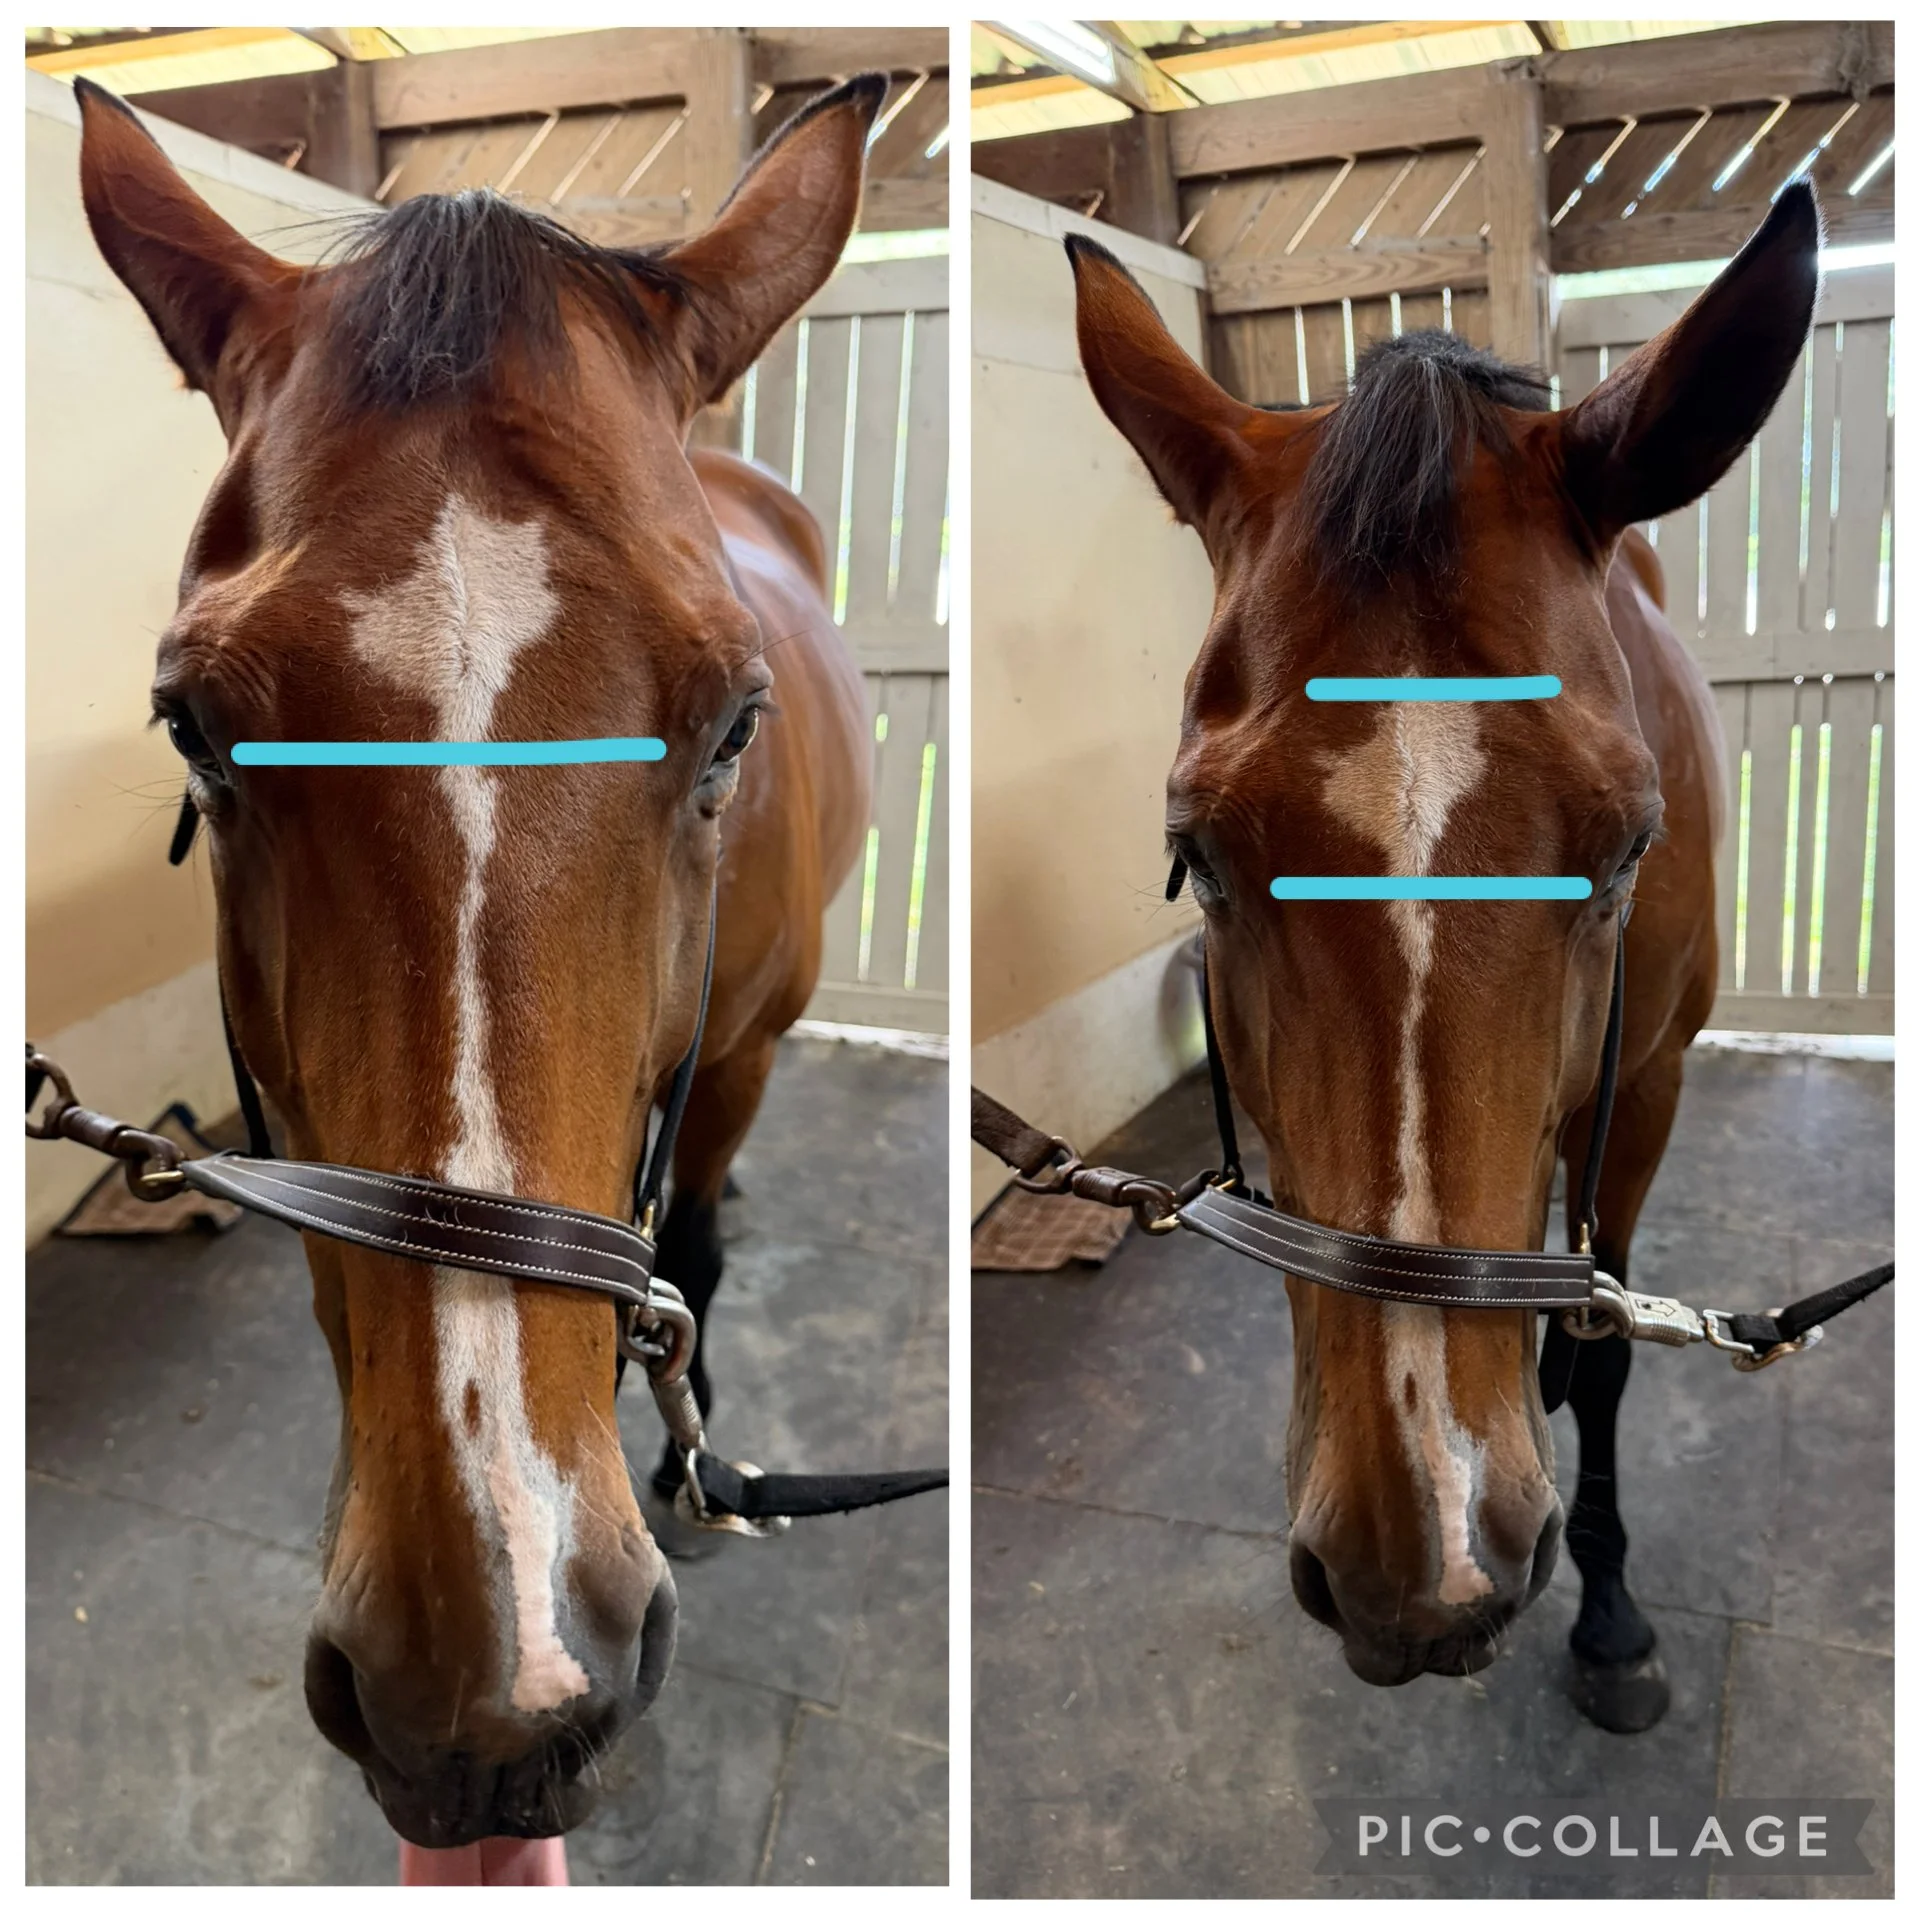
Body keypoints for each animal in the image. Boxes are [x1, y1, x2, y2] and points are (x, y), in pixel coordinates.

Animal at [1068, 185, 1820, 1732]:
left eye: (1627, 846)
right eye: (1199, 852)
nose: (1425, 1561)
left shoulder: (1643, 1087)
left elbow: (1605, 1337)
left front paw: (1610, 1615)